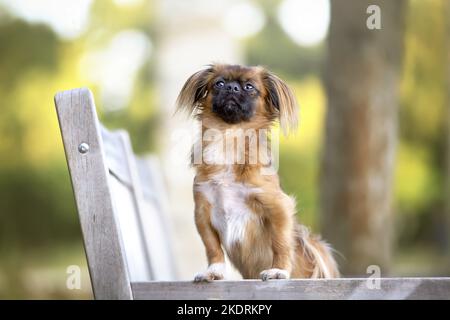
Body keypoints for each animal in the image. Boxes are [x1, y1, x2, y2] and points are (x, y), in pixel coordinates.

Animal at [176, 62, 338, 280]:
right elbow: (212, 247)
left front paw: (278, 270)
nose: (232, 88)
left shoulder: (278, 207)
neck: (230, 137)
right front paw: (214, 272)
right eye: (219, 83)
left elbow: (280, 243)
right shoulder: (203, 212)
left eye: (249, 87)